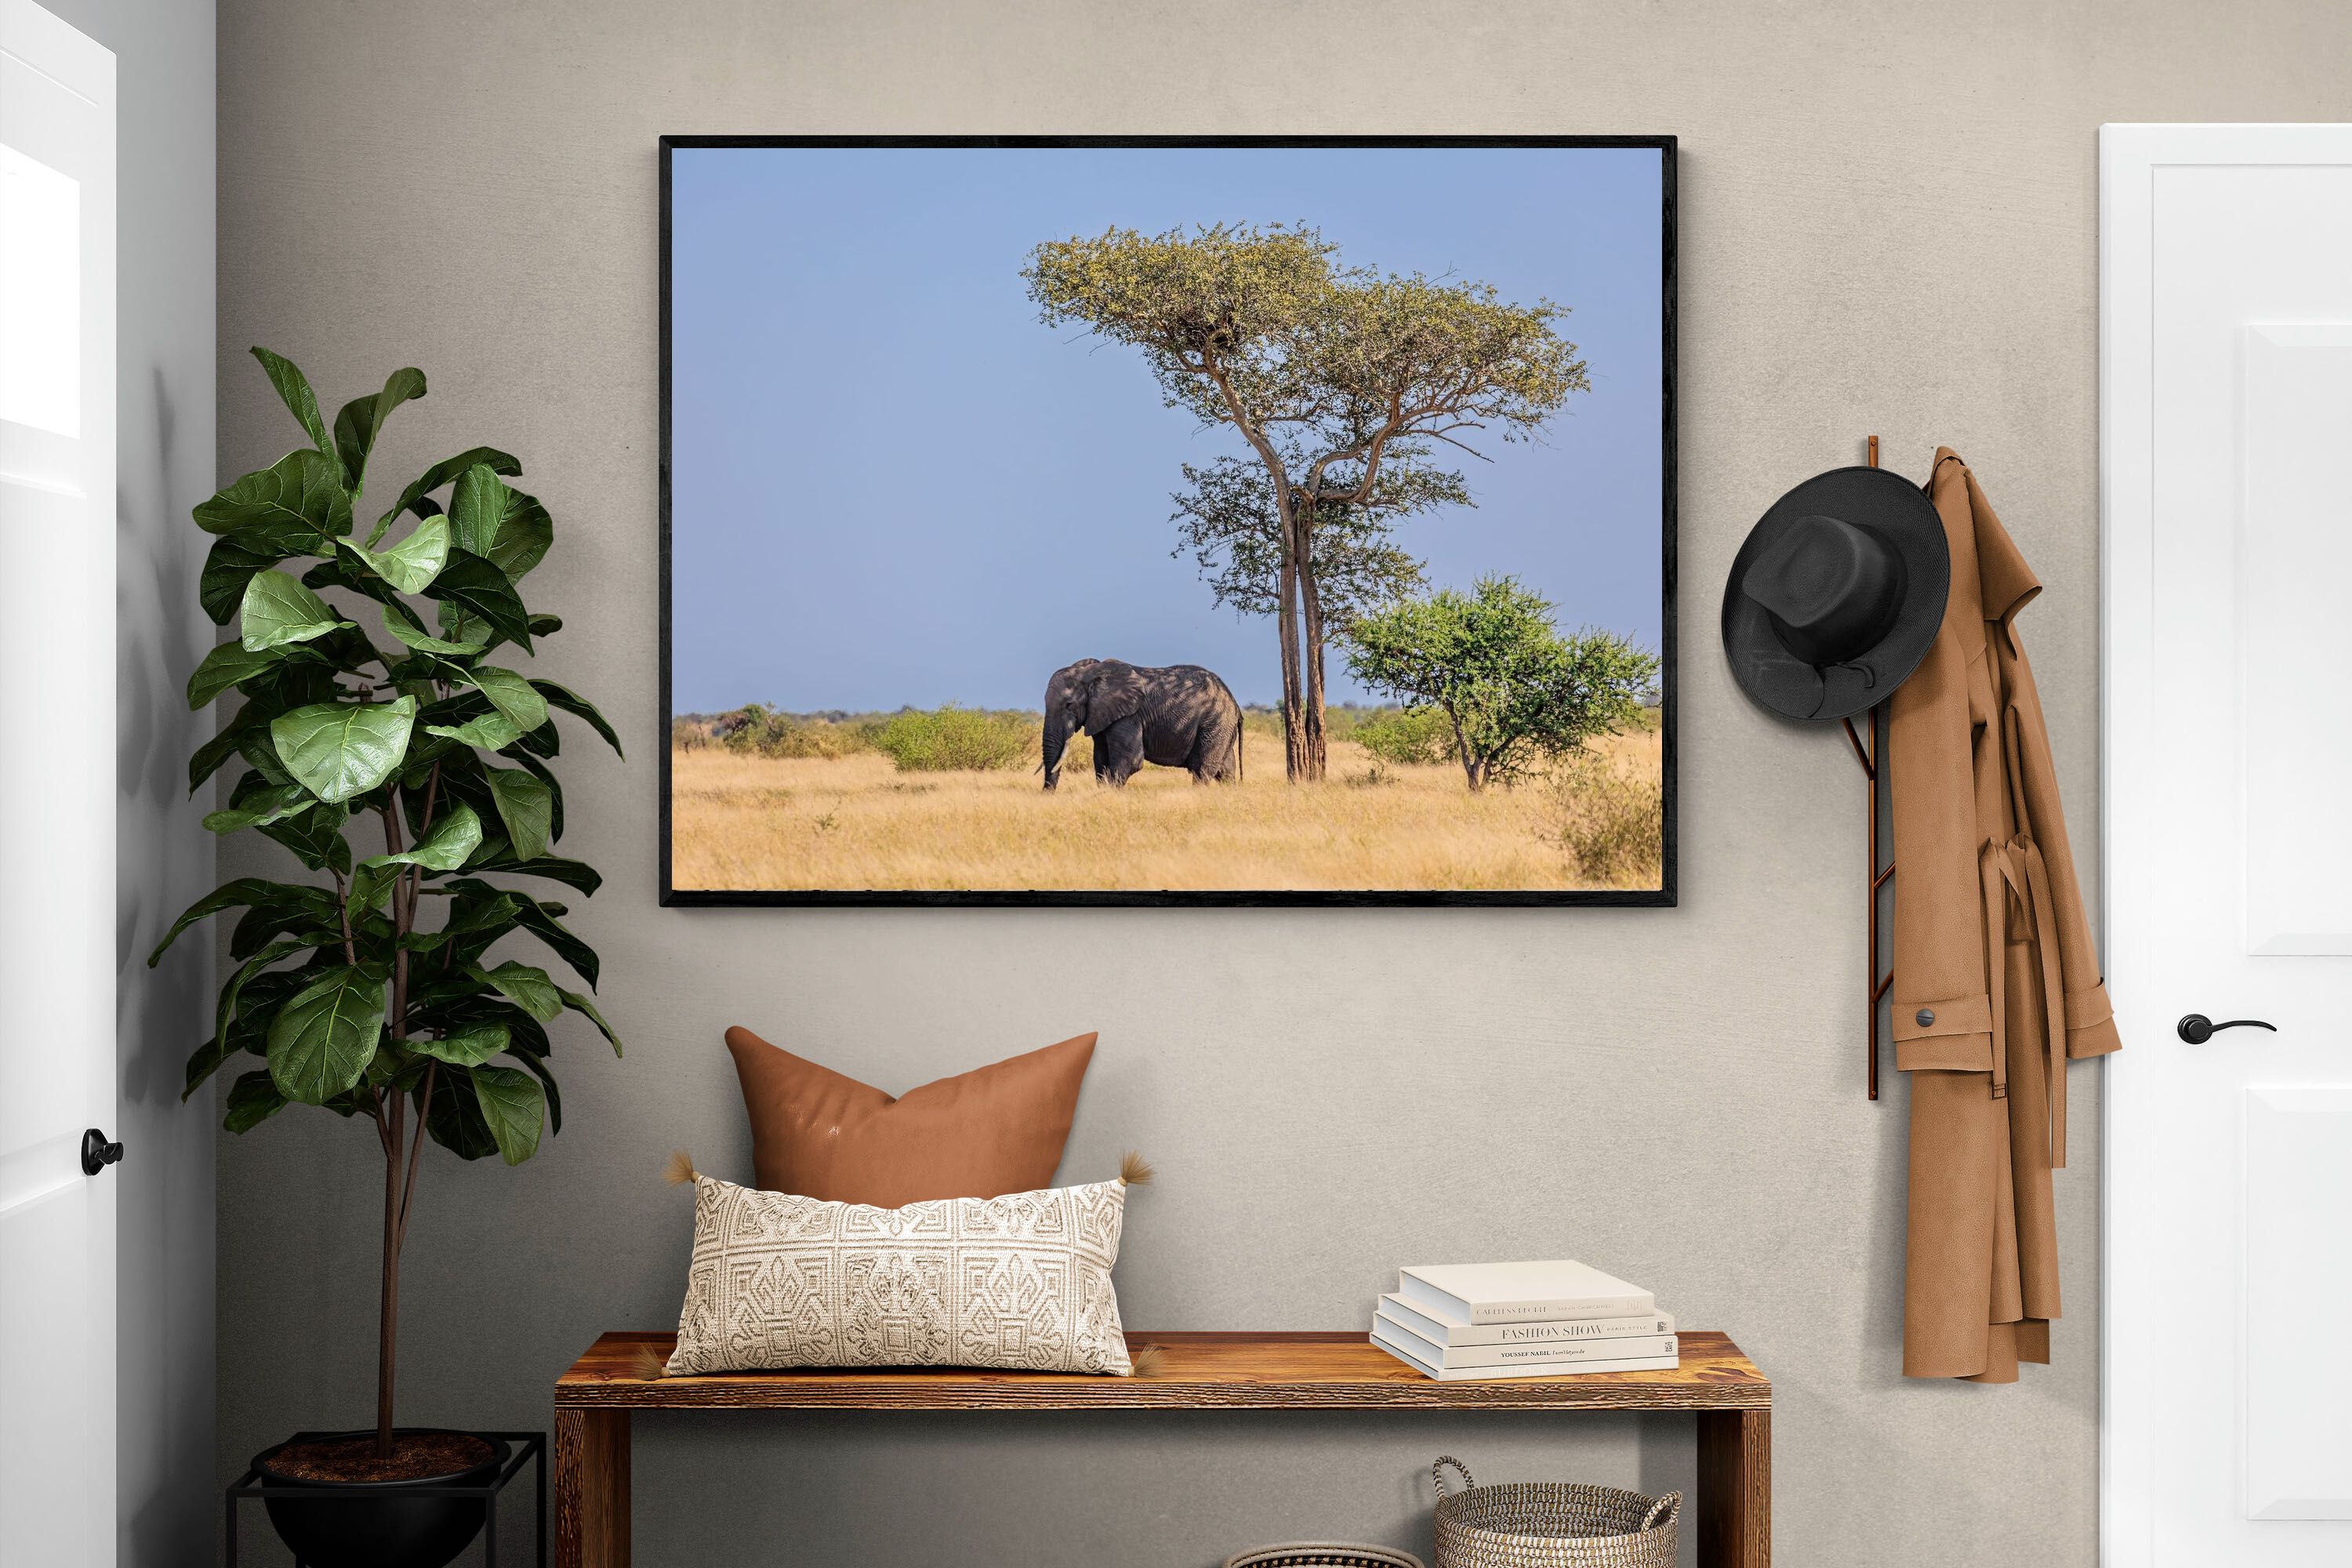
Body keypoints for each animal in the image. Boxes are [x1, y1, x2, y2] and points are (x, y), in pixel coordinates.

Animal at [1041, 658, 1245, 790]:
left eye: (1069, 705)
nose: (1047, 794)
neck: (1091, 673)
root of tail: (1234, 702)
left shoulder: (1128, 717)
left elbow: (1130, 761)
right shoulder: (1101, 716)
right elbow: (1100, 760)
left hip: (1214, 722)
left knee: (1202, 769)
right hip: (1221, 727)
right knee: (1225, 771)